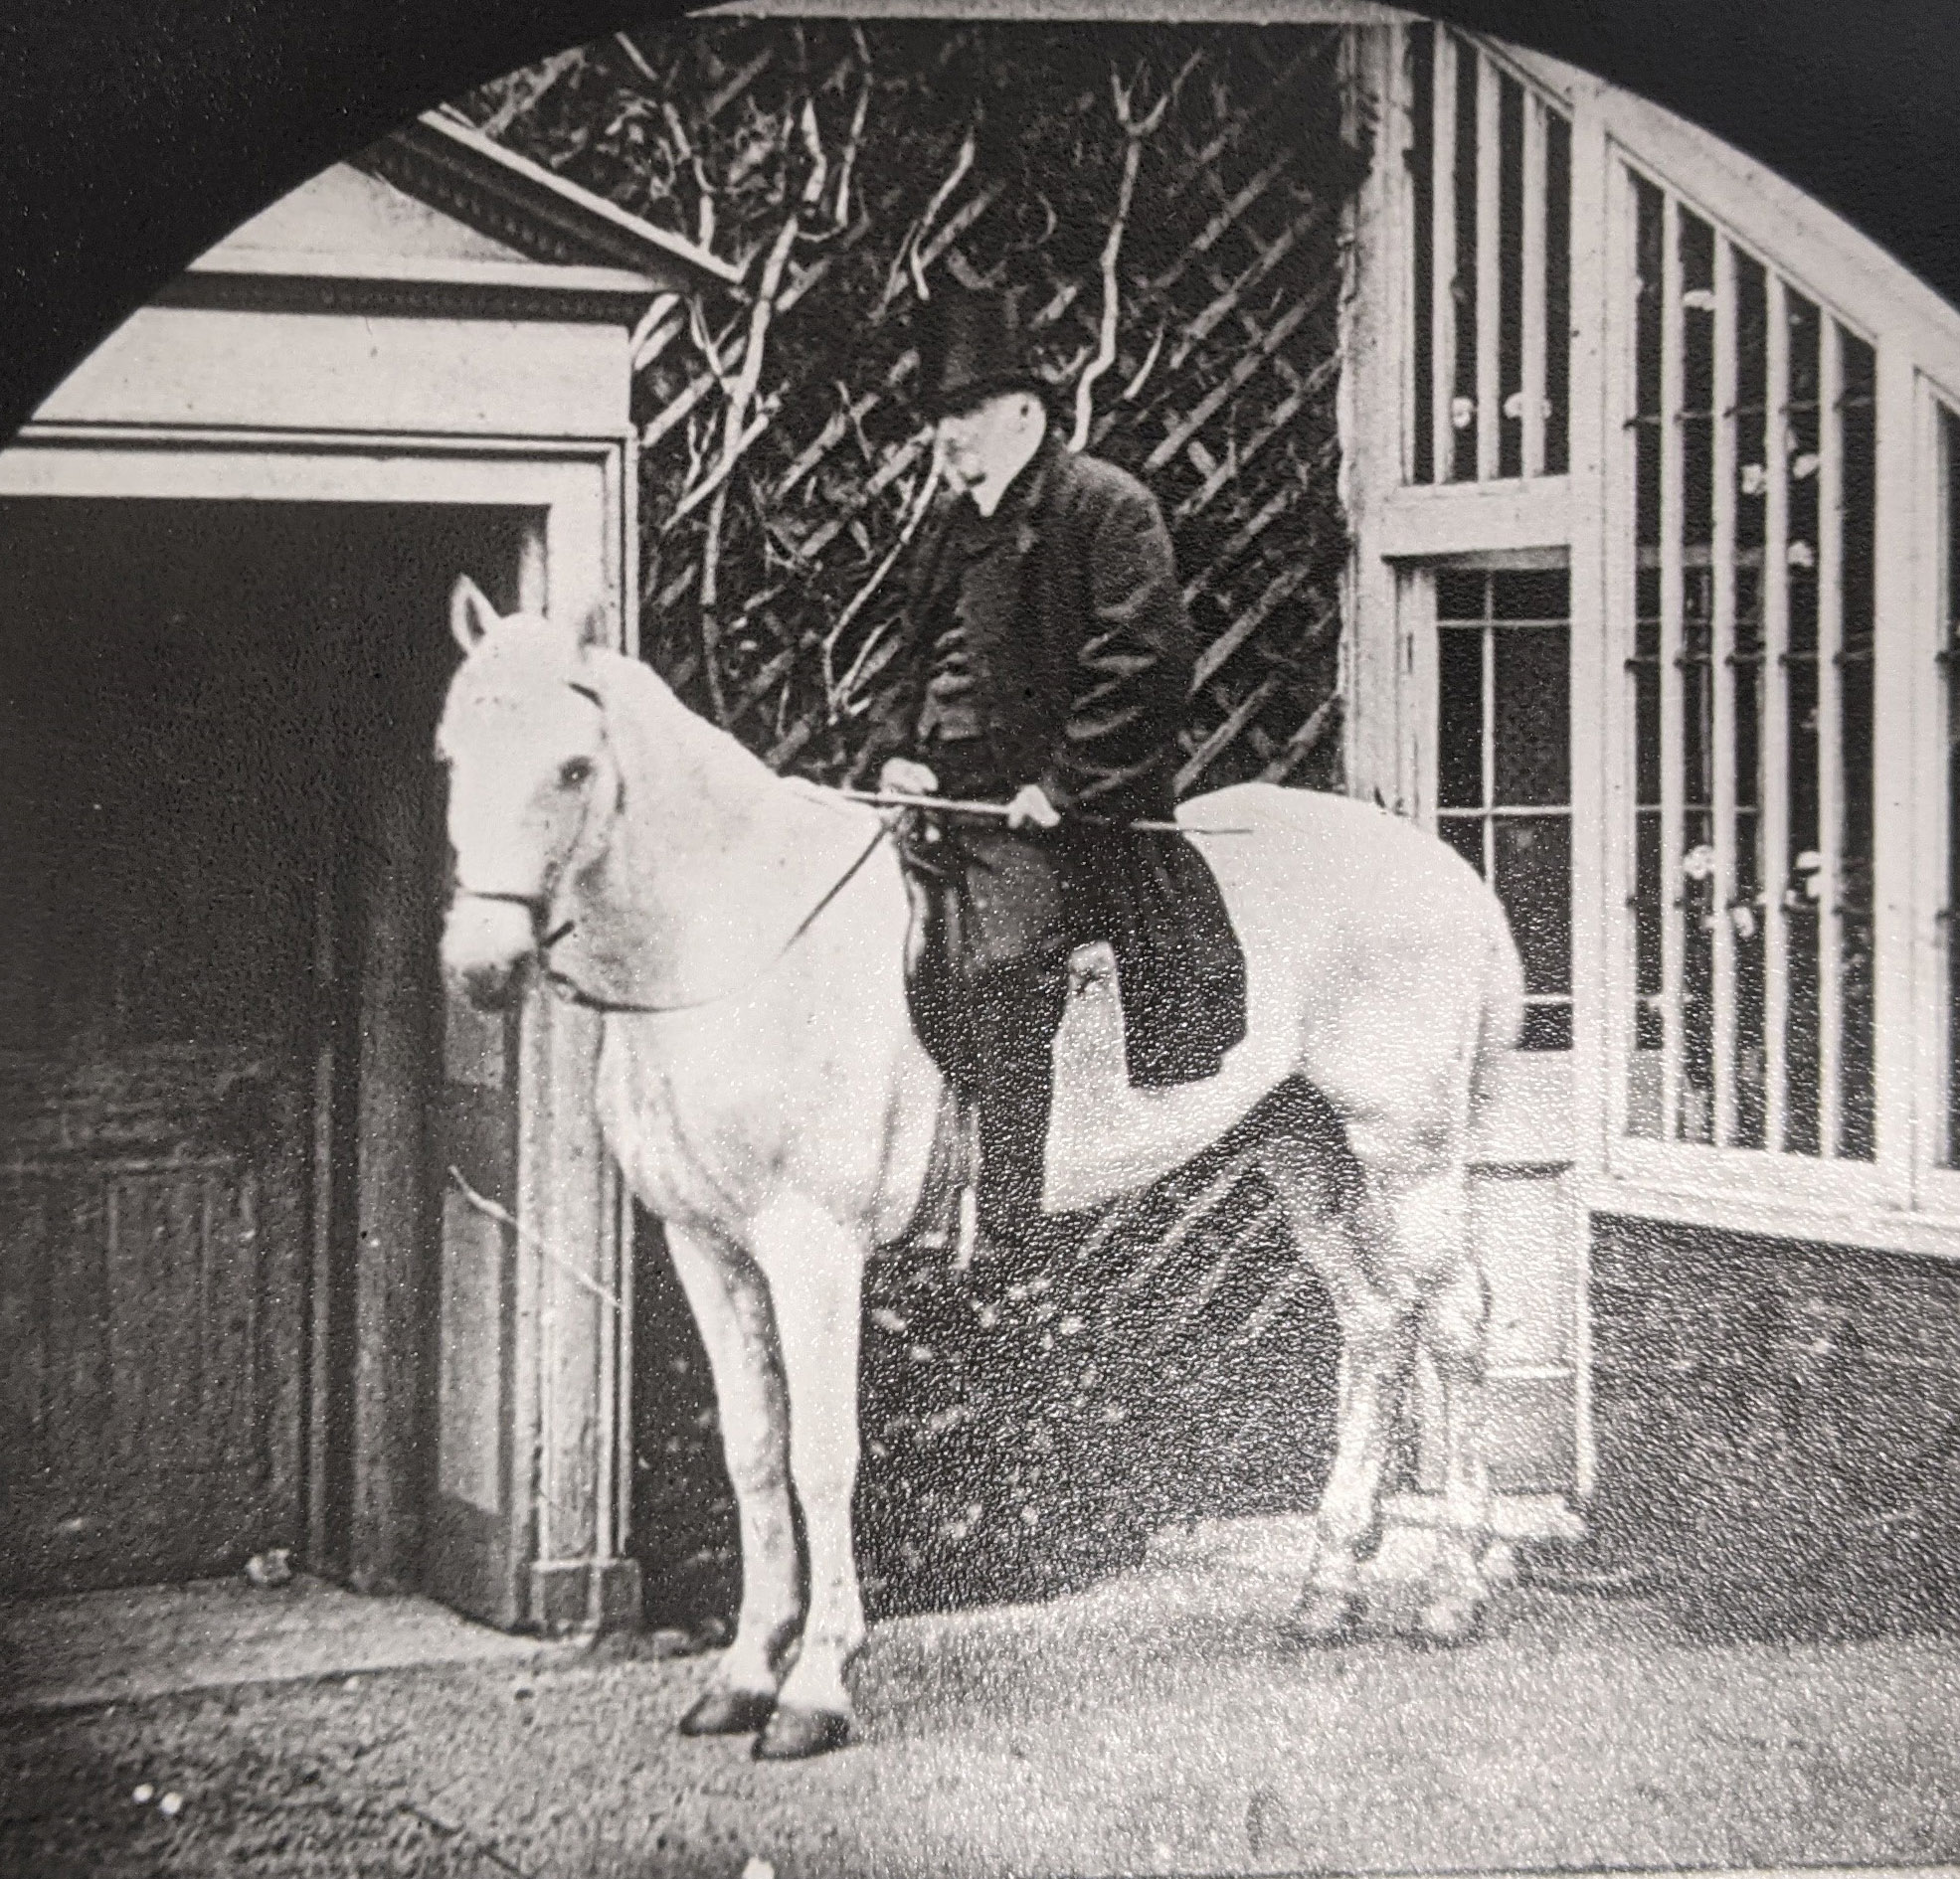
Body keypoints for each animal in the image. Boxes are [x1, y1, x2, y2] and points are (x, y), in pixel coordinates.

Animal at [437, 576, 1520, 1763]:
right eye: (450, 754)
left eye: (572, 767)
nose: (478, 968)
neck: (738, 941)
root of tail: (1448, 873)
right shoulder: (705, 1247)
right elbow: (754, 1454)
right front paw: (743, 1675)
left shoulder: (812, 1250)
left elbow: (823, 1456)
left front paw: (816, 1686)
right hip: (1304, 1148)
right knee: (1374, 1324)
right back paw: (1328, 1588)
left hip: (1406, 1148)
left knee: (1456, 1326)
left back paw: (1455, 1590)